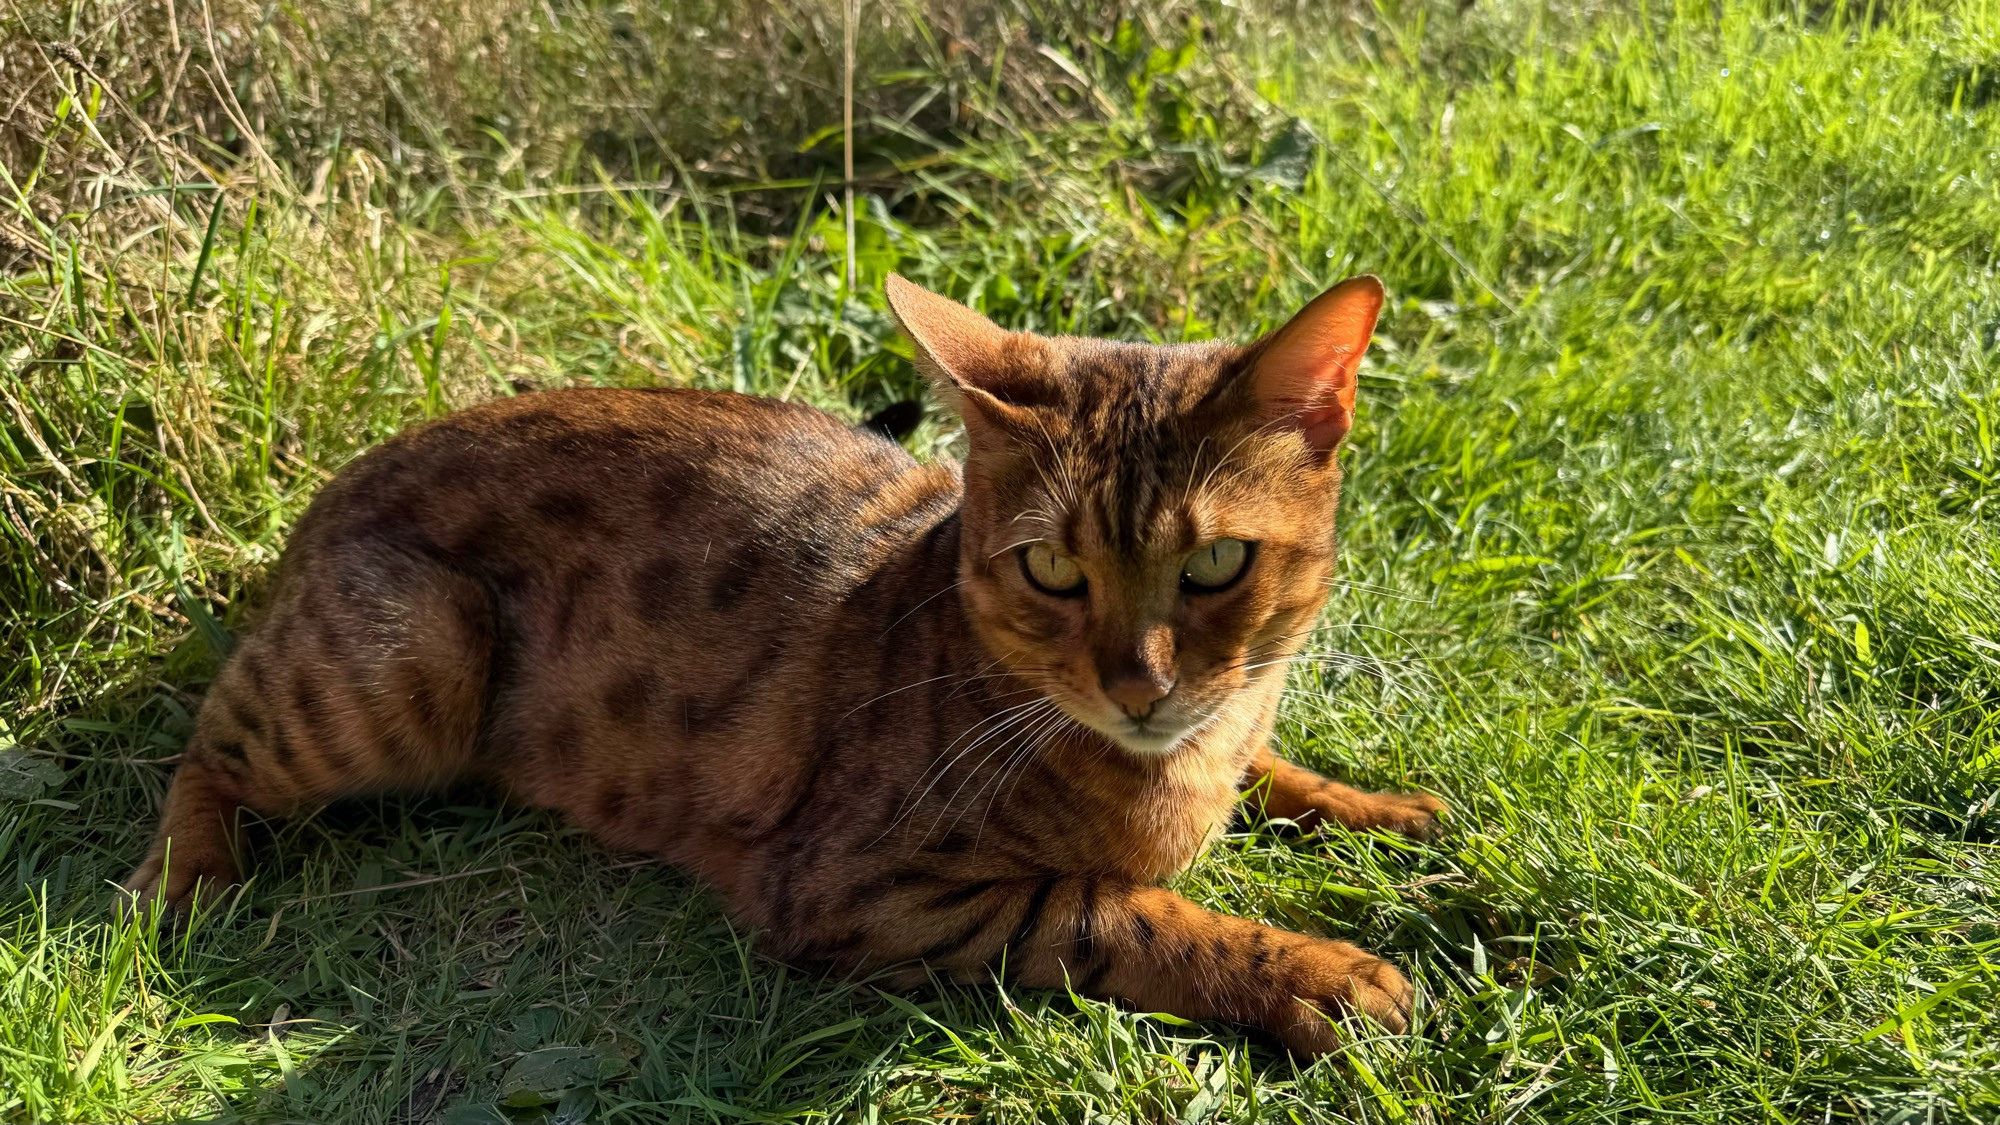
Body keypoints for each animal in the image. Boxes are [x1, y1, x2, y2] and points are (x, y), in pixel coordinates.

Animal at [125, 272, 1448, 1048]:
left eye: (1215, 562)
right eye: (1051, 570)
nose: (1139, 686)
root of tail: (334, 482)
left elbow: (1271, 766)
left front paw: (1385, 806)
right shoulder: (851, 888)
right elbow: (1109, 910)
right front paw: (1320, 973)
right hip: (414, 658)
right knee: (204, 749)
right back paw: (185, 887)